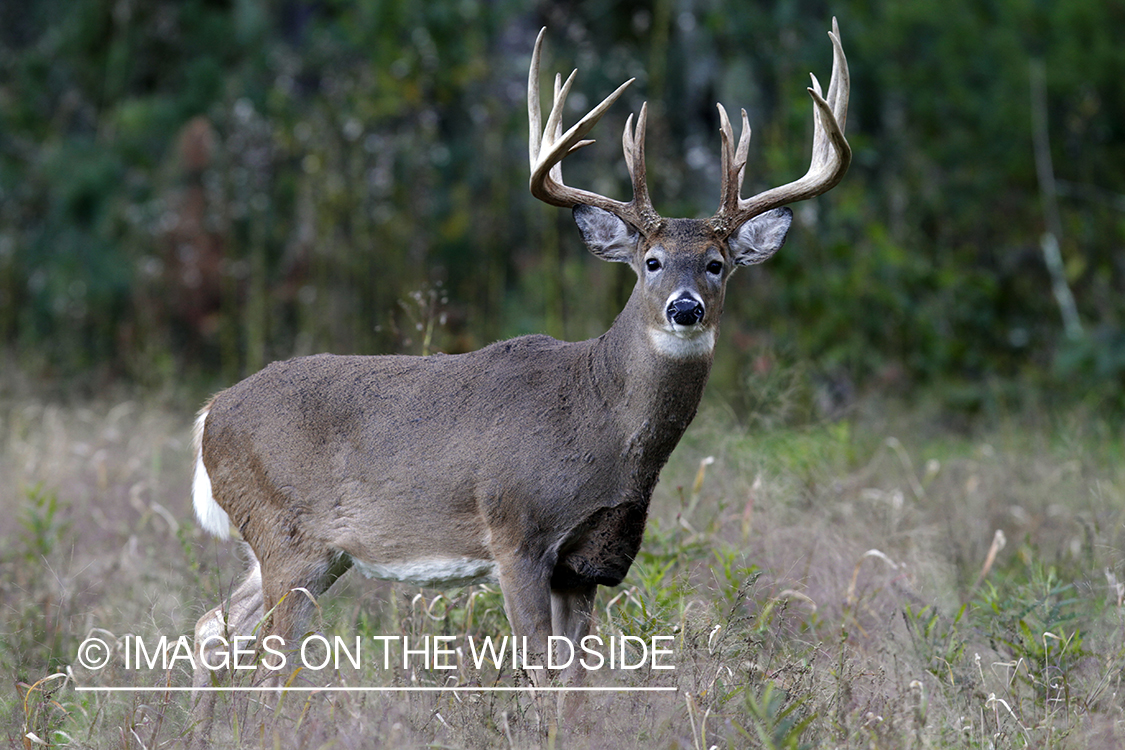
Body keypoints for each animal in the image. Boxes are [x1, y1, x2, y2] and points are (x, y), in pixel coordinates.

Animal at [189, 19, 846, 746]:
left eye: (717, 264)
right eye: (650, 261)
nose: (685, 309)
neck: (603, 427)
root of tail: (210, 414)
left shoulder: (589, 561)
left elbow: (578, 688)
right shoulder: (516, 533)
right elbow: (541, 675)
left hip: (311, 551)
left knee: (211, 627)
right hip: (286, 535)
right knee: (265, 667)